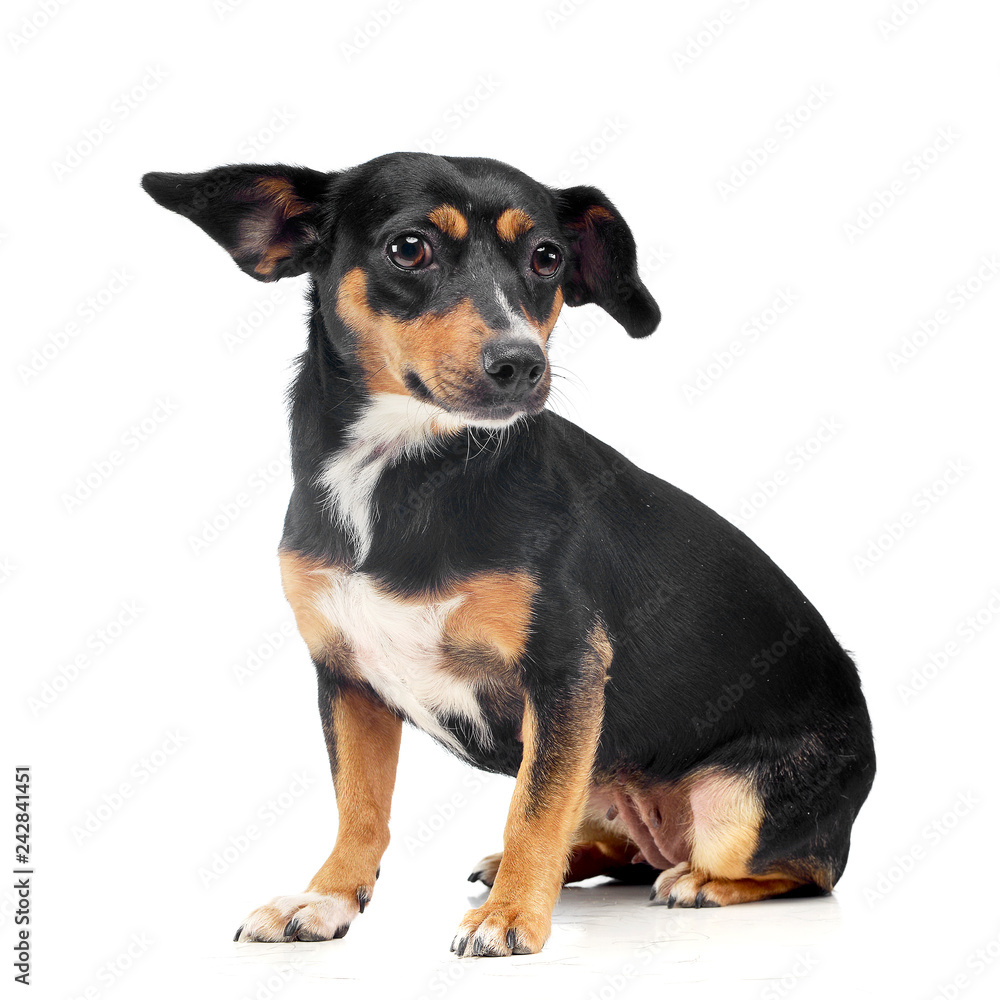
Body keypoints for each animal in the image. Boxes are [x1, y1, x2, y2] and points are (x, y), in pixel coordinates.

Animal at [143, 152, 876, 956]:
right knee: (617, 849)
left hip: (734, 806)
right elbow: (361, 808)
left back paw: (695, 882)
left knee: (803, 870)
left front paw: (511, 918)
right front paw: (328, 897)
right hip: (606, 781)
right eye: (409, 248)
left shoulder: (564, 674)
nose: (522, 361)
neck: (406, 469)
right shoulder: (348, 681)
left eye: (547, 258)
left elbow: (533, 809)